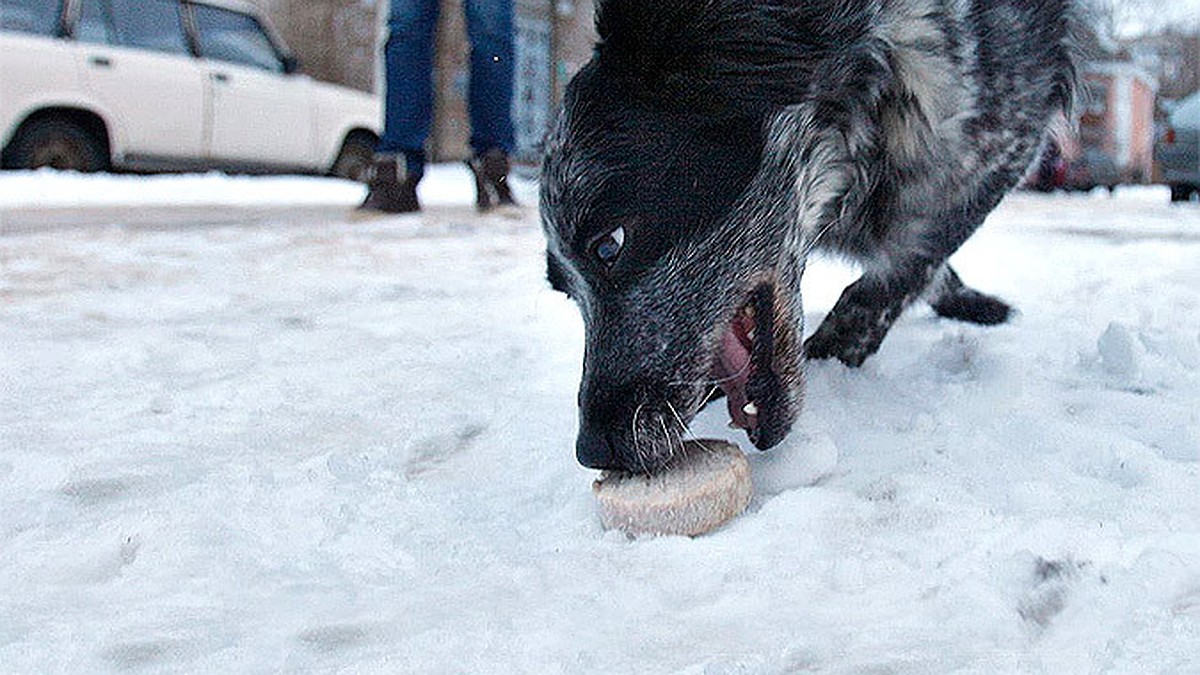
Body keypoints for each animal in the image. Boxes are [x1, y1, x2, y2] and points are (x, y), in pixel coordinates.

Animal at [542, 0, 1080, 473]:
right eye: (565, 291)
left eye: (609, 245)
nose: (594, 450)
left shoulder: (1007, 130)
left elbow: (903, 267)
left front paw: (833, 358)